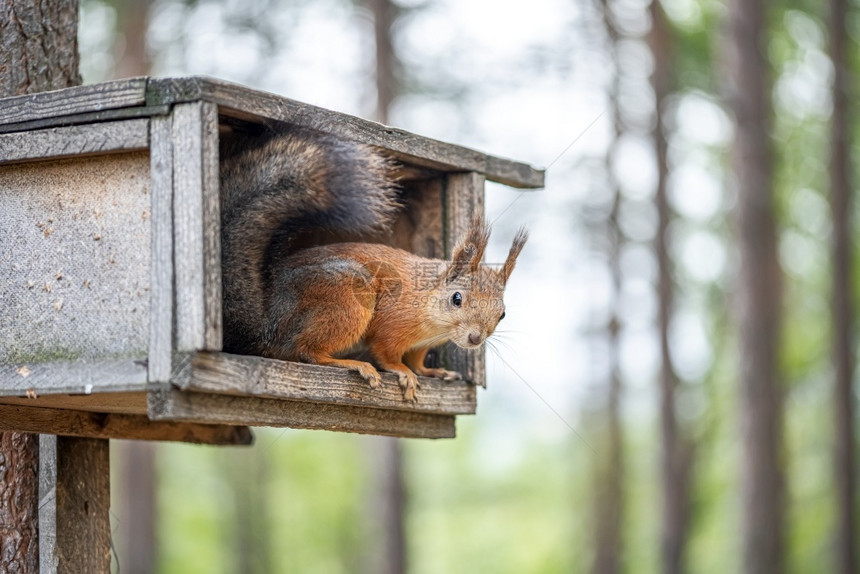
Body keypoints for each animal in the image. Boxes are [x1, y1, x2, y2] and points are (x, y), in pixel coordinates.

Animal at [218, 125, 528, 404]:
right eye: (457, 299)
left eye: (502, 314)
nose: (476, 338)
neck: (433, 320)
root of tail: (267, 326)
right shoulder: (392, 323)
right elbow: (386, 353)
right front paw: (404, 372)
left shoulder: (421, 345)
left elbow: (417, 361)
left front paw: (432, 371)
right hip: (346, 299)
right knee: (305, 351)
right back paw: (354, 364)